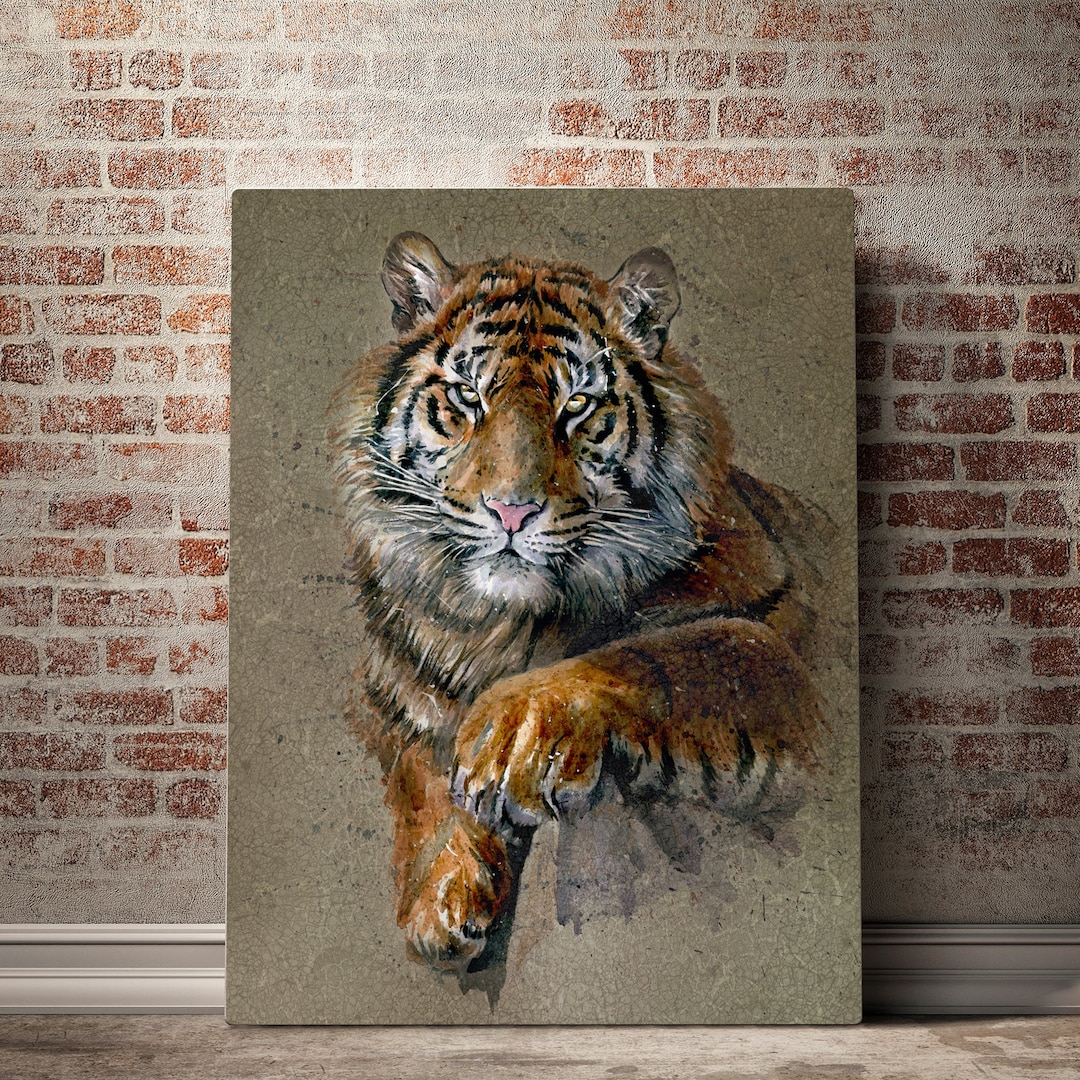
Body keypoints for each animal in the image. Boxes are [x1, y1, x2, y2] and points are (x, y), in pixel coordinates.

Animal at [328, 232, 827, 979]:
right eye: (467, 397)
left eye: (578, 407)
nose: (511, 510)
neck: (505, 628)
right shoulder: (398, 695)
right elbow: (420, 771)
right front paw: (441, 896)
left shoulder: (778, 645)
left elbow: (662, 654)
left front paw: (512, 735)